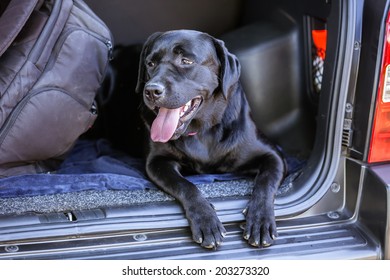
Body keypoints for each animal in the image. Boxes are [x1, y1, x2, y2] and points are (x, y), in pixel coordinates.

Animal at [136, 30, 284, 249]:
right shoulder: (156, 162)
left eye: (186, 61)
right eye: (150, 63)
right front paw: (206, 220)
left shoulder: (274, 155)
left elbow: (266, 180)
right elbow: (186, 185)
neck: (202, 130)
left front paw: (261, 220)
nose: (152, 91)